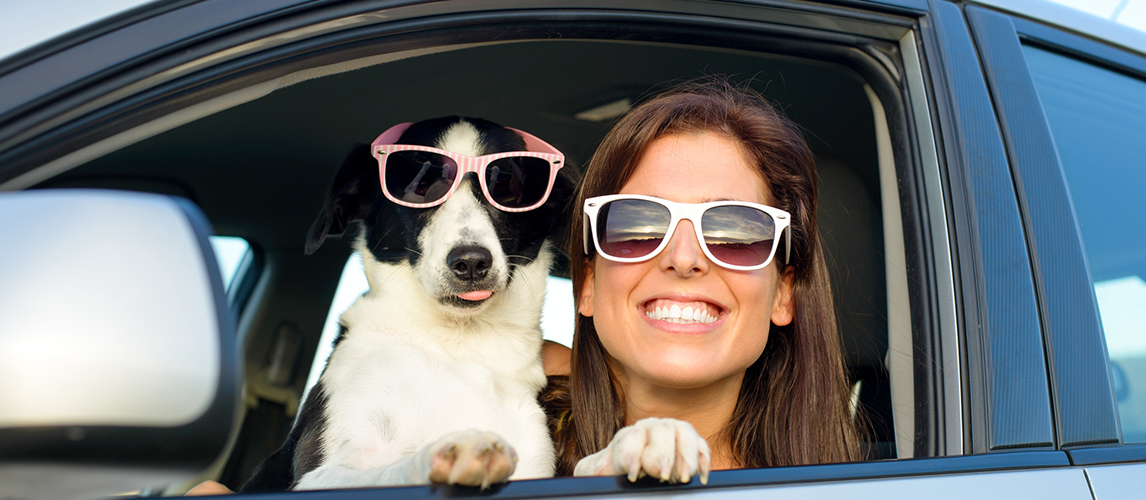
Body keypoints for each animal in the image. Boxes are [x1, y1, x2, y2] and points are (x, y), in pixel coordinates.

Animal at [245, 116, 577, 493]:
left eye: (506, 183)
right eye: (421, 185)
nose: (471, 262)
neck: (459, 344)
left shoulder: (533, 466)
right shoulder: (320, 473)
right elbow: (387, 472)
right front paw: (448, 455)